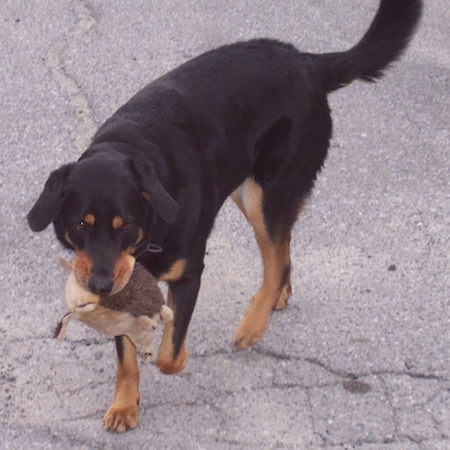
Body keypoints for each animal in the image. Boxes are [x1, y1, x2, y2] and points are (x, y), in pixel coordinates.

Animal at [27, 0, 422, 432]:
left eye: (125, 225)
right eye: (80, 224)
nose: (98, 284)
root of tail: (306, 62)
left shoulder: (188, 274)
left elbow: (168, 354)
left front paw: (175, 358)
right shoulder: (122, 289)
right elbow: (125, 356)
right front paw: (125, 405)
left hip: (266, 194)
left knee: (276, 259)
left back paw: (254, 323)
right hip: (247, 193)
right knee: (283, 251)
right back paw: (276, 298)